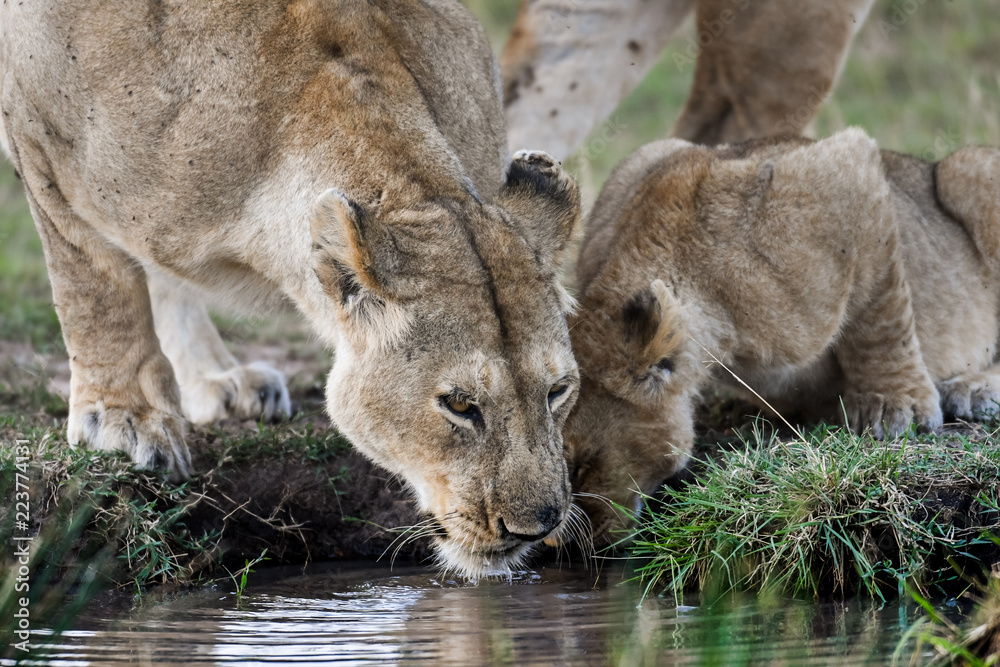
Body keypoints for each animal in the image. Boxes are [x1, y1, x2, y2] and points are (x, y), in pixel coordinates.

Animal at [0, 0, 583, 577]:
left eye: (558, 391)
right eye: (459, 404)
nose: (537, 526)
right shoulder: (37, 127)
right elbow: (92, 284)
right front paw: (123, 420)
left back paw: (221, 379)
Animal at [557, 128, 1000, 544]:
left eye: (578, 468)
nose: (556, 547)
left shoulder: (849, 169)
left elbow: (878, 313)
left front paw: (894, 406)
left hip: (970, 169)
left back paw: (973, 388)